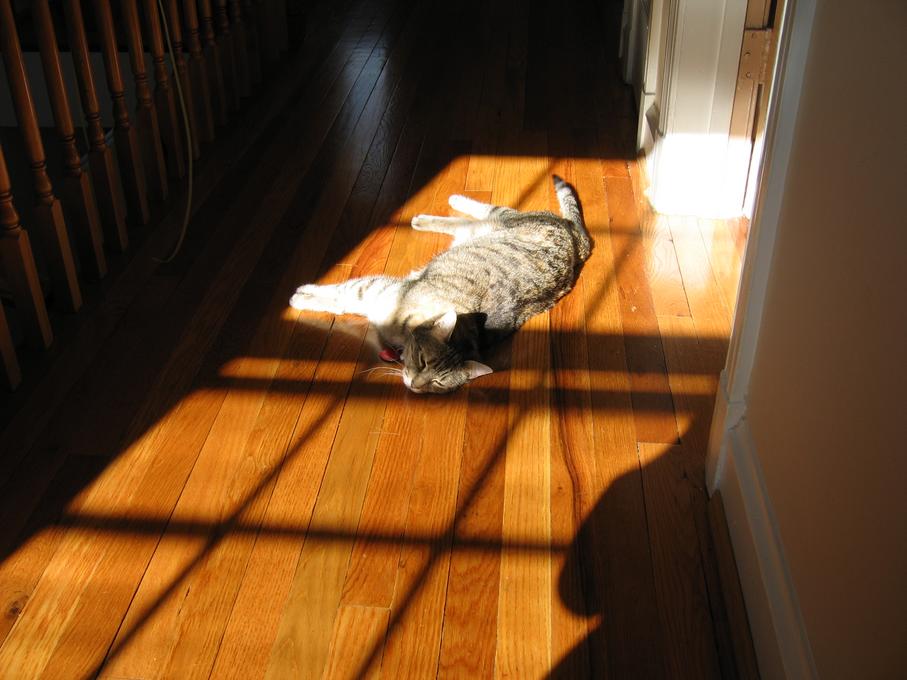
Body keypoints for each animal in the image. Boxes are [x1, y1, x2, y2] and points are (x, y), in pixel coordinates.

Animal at [290, 175, 591, 393]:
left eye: (437, 383)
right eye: (423, 361)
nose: (414, 386)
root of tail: (577, 239)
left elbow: (344, 297)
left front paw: (303, 296)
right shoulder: (377, 290)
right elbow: (342, 295)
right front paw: (301, 297)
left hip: (479, 230)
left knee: (462, 224)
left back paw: (426, 218)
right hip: (506, 217)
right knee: (486, 210)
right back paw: (447, 205)